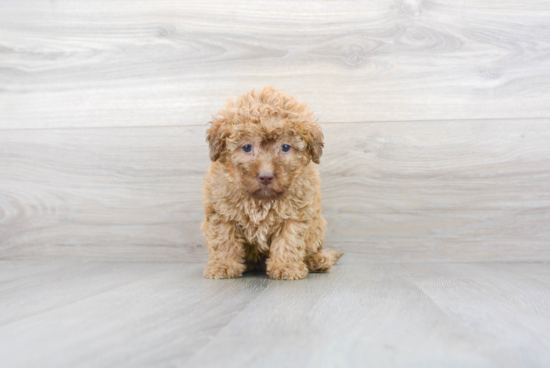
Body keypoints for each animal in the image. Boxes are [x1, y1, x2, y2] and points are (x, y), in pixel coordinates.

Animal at [201, 87, 342, 282]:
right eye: (247, 147)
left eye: (285, 147)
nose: (266, 177)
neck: (261, 200)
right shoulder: (221, 212)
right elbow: (224, 240)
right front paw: (223, 266)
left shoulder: (295, 214)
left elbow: (289, 240)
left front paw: (286, 267)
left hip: (317, 227)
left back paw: (316, 260)